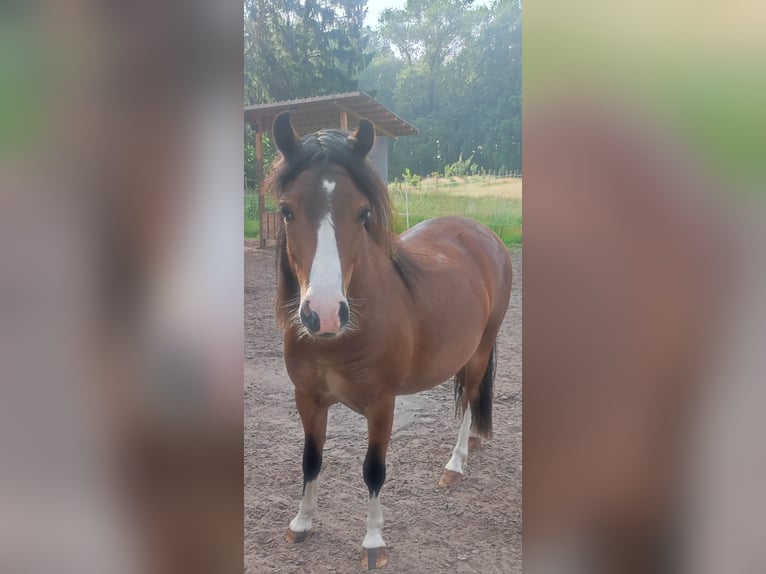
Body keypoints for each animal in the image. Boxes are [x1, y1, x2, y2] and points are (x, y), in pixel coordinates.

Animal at [268, 112, 512, 572]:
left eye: (363, 212)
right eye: (287, 211)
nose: (324, 314)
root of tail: (482, 234)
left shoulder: (382, 404)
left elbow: (374, 469)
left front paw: (373, 541)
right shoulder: (306, 398)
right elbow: (311, 459)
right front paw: (301, 523)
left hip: (481, 348)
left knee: (472, 395)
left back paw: (456, 462)